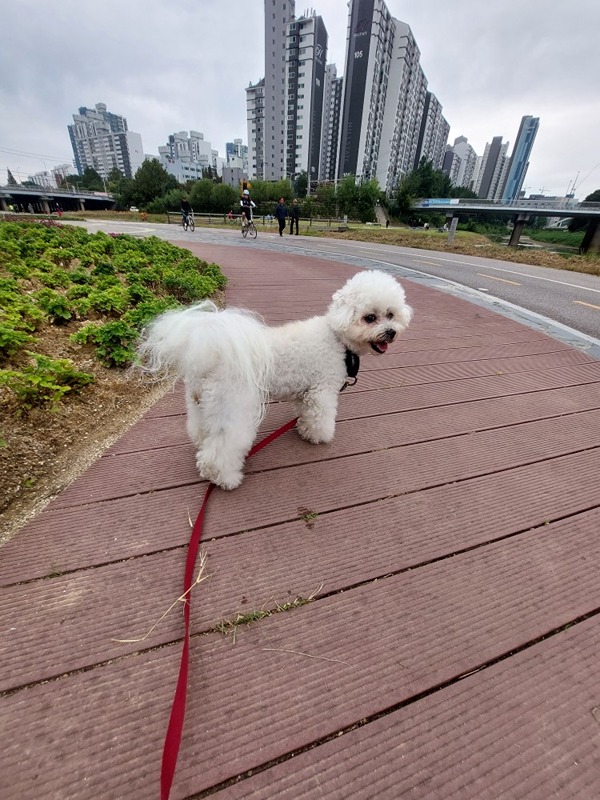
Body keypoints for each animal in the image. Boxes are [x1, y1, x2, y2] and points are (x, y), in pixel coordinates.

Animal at [137, 272, 412, 490]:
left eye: (391, 314)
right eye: (370, 317)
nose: (391, 332)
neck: (336, 337)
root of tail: (212, 352)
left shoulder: (306, 391)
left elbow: (305, 412)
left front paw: (304, 430)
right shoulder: (322, 390)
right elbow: (322, 416)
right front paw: (320, 436)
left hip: (202, 405)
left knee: (203, 433)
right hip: (235, 407)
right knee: (221, 450)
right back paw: (226, 479)